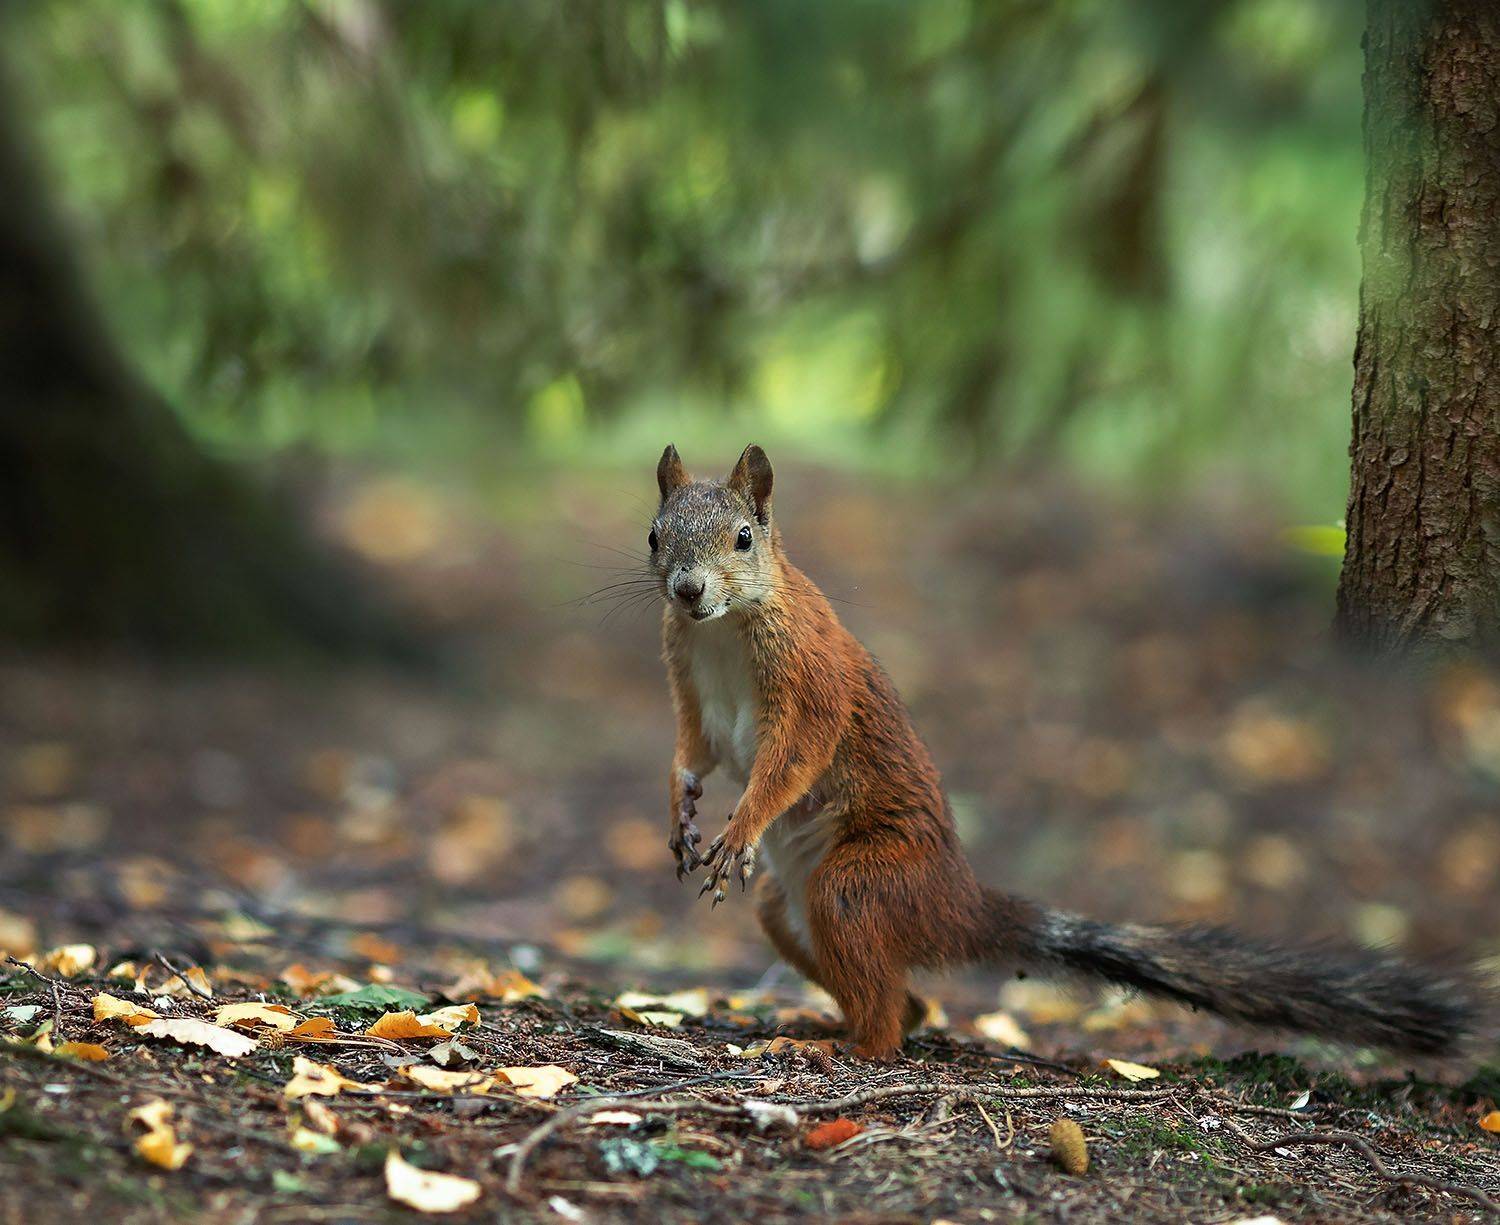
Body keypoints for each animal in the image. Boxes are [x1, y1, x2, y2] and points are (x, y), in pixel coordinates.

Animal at [650, 443, 1485, 1060]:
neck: (726, 627)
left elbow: (795, 755)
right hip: (787, 909)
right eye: (656, 536)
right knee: (906, 997)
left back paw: (841, 1047)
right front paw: (683, 811)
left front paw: (740, 825)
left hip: (857, 888)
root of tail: (958, 904)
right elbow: (693, 750)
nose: (687, 591)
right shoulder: (690, 686)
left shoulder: (810, 678)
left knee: (889, 1014)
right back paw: (826, 1023)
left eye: (744, 538)